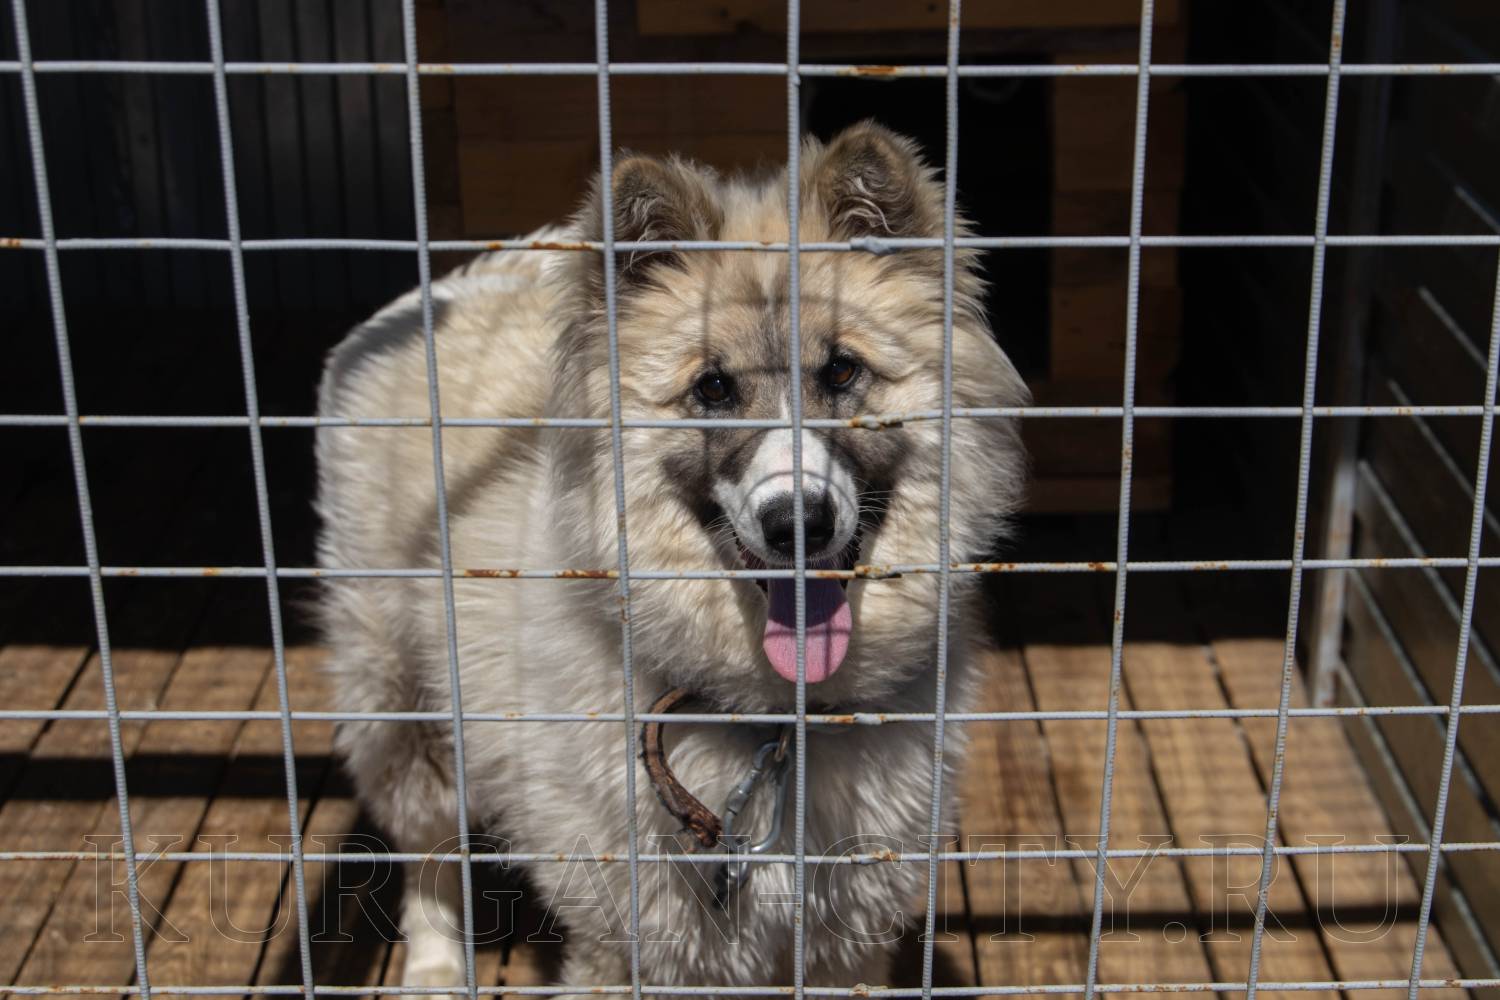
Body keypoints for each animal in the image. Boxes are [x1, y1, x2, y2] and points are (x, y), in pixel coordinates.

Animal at [314, 121, 1028, 995]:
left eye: (841, 371)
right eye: (713, 388)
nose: (798, 523)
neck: (772, 728)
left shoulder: (842, 944)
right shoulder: (631, 946)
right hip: (398, 708)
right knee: (427, 855)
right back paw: (436, 967)